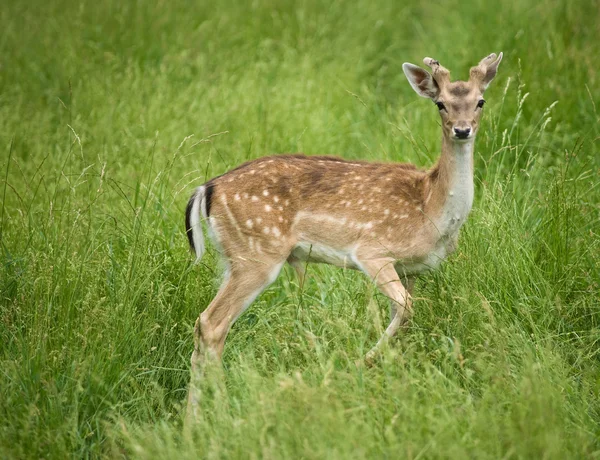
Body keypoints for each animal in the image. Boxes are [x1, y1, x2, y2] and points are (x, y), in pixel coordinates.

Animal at [184, 52, 502, 416]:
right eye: (440, 104)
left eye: (481, 101)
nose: (462, 130)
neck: (430, 207)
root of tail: (206, 188)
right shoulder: (371, 250)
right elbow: (406, 307)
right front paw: (361, 362)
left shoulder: (411, 268)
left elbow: (402, 315)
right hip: (256, 255)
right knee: (212, 323)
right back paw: (220, 411)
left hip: (232, 259)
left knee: (206, 325)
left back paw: (193, 418)